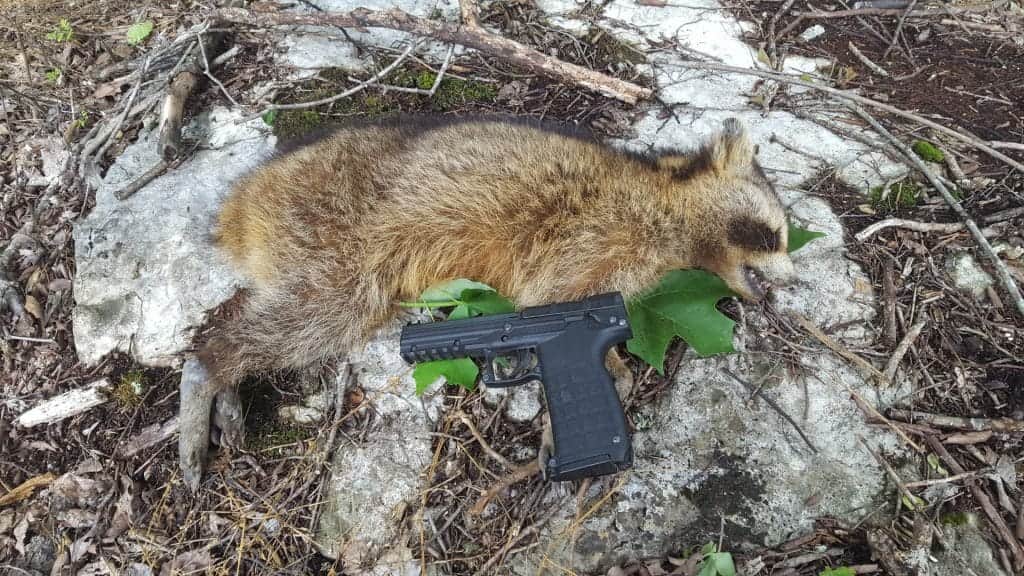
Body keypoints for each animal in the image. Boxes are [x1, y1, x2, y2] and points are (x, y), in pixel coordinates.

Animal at [178, 115, 797, 489]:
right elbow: (552, 302)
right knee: (312, 316)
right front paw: (591, 401)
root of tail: (244, 201)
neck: (670, 204)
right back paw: (208, 367)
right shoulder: (597, 238)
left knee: (264, 306)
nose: (790, 281)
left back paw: (224, 373)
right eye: (772, 236)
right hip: (328, 234)